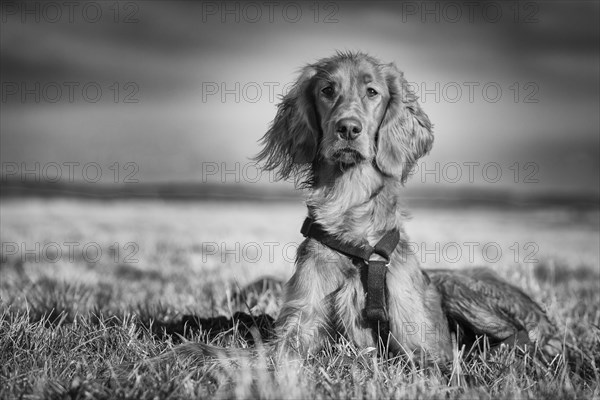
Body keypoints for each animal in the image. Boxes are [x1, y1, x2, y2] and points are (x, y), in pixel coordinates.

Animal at [171, 51, 560, 368]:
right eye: (327, 90)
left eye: (372, 92)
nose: (348, 128)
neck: (352, 225)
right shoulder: (295, 332)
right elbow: (234, 353)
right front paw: (182, 353)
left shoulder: (425, 351)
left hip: (457, 288)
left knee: (516, 339)